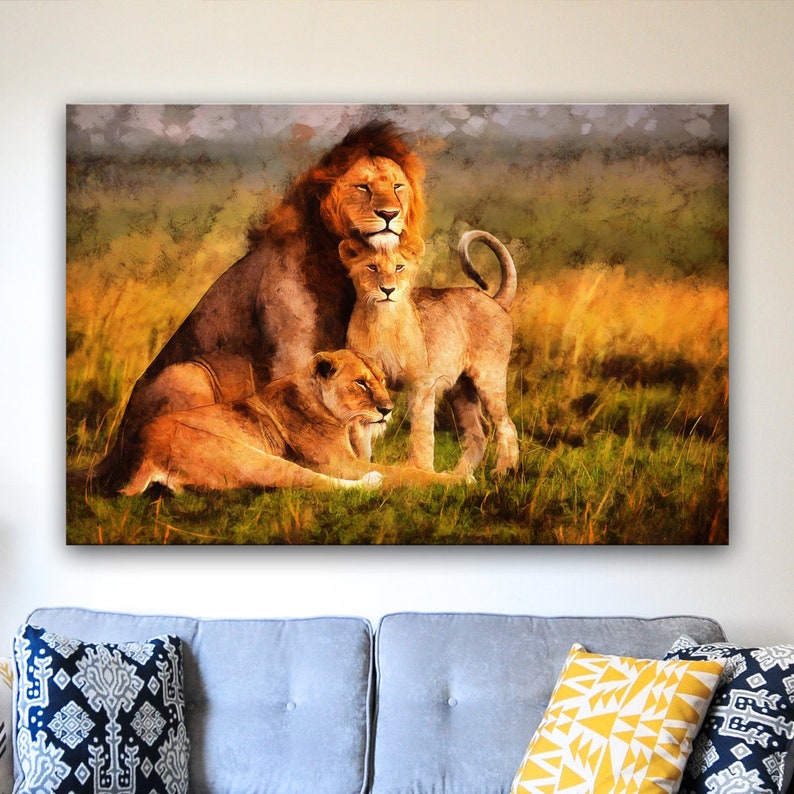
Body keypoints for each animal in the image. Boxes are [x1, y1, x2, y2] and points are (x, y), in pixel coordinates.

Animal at [93, 121, 426, 488]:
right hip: (188, 373)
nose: (390, 214)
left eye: (397, 186)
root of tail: (113, 453)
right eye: (363, 187)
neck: (335, 263)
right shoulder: (292, 349)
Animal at [120, 350, 465, 495]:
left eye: (381, 380)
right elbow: (407, 474)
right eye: (360, 383)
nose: (388, 408)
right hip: (247, 457)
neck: (348, 423)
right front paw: (456, 479)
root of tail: (140, 452)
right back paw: (372, 482)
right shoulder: (342, 464)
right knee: (317, 482)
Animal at [342, 230, 519, 476]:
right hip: (461, 390)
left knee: (506, 424)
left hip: (489, 378)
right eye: (372, 267)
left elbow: (422, 432)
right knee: (478, 431)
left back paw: (503, 471)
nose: (387, 290)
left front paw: (421, 470)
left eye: (399, 267)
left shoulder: (422, 384)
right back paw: (459, 476)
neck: (381, 320)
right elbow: (359, 434)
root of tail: (495, 300)